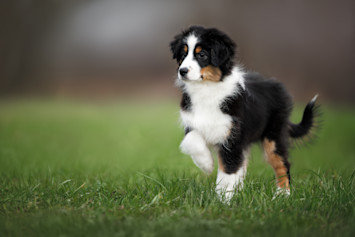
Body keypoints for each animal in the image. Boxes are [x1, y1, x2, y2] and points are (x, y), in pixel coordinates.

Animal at [170, 25, 320, 201]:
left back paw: (283, 194)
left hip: (274, 136)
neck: (206, 88)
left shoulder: (233, 137)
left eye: (202, 55)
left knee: (281, 162)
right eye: (183, 54)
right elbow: (191, 140)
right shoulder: (192, 122)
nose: (182, 71)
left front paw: (223, 199)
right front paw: (207, 165)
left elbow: (228, 169)